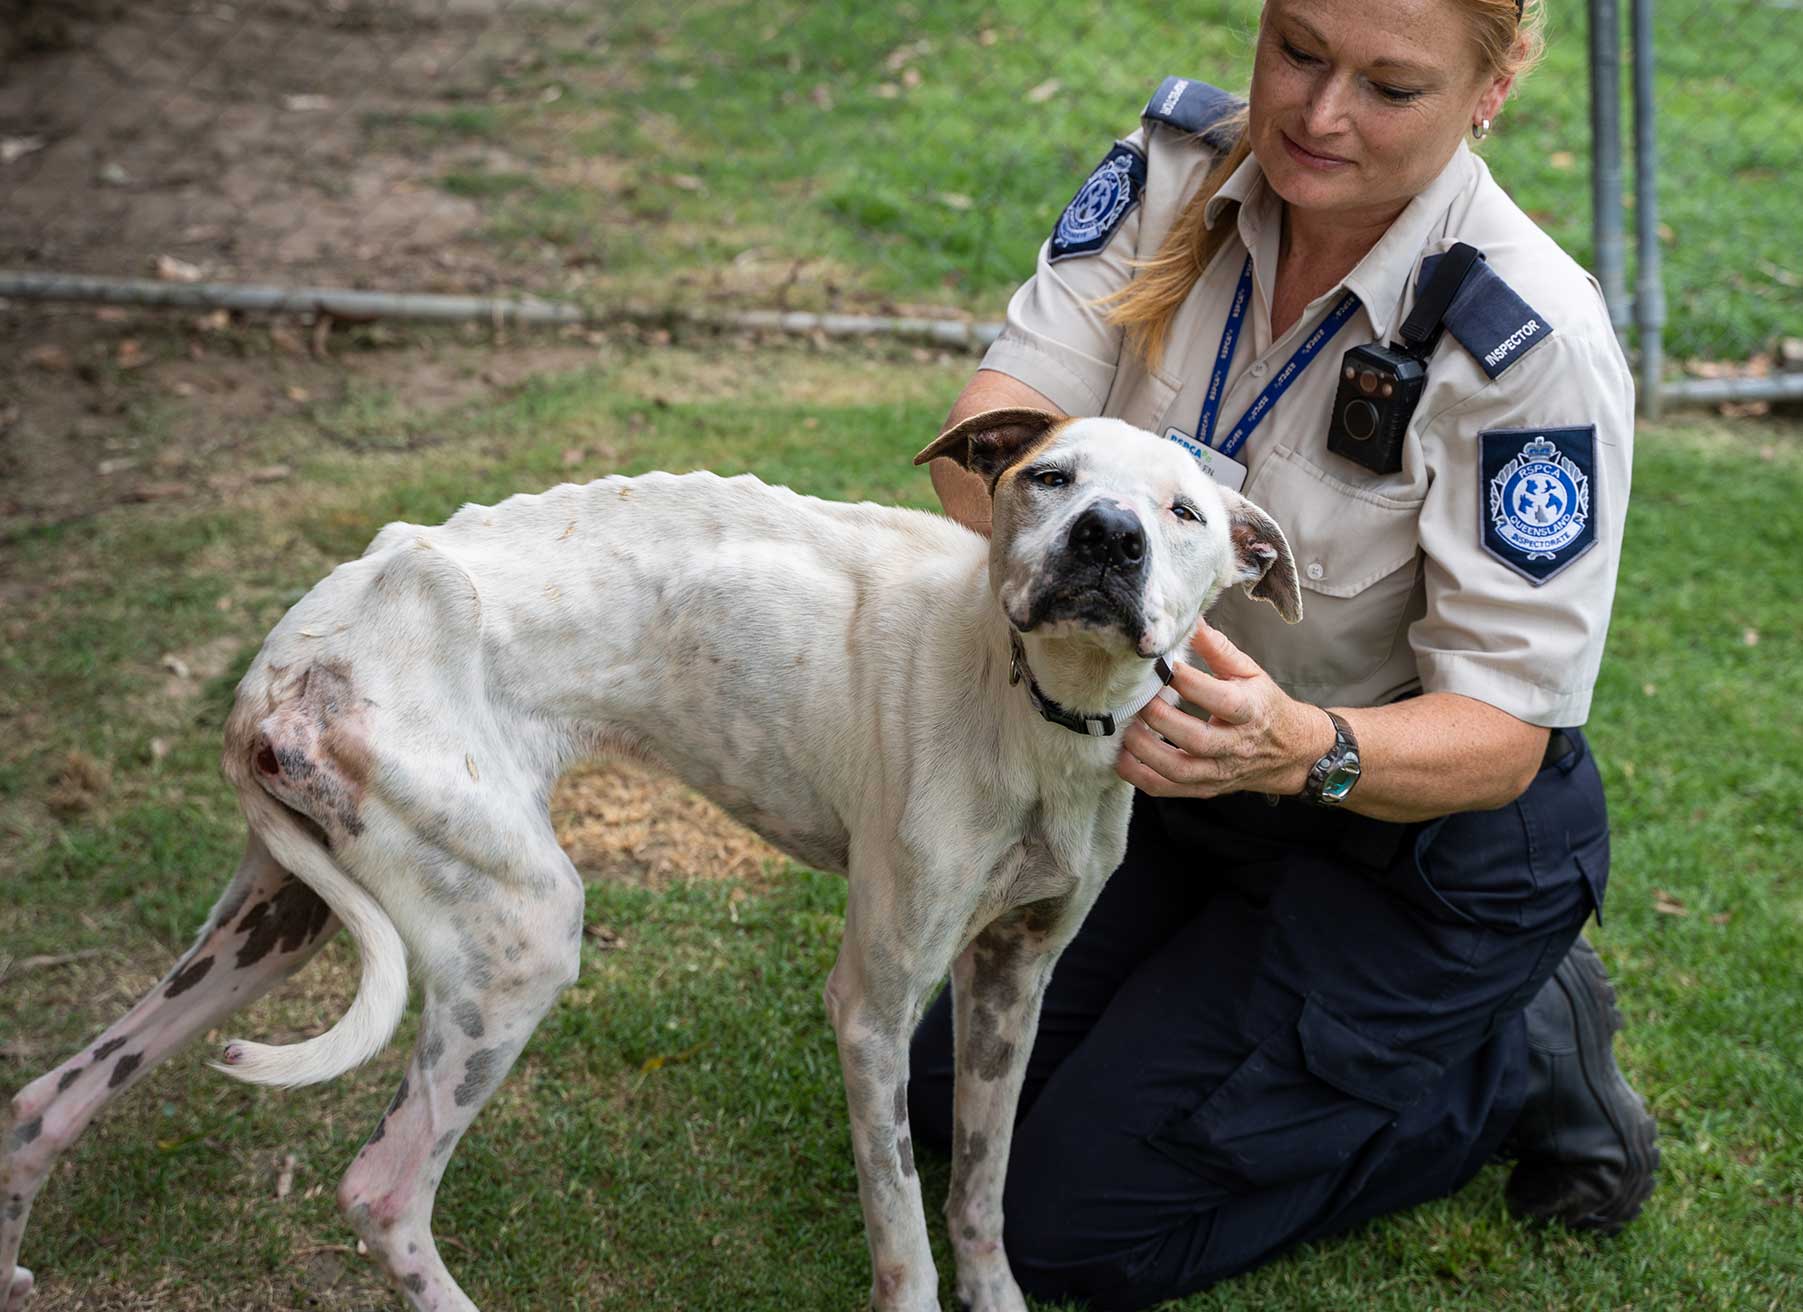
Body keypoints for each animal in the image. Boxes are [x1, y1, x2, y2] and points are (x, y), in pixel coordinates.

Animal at [0, 410, 1305, 1312]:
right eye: (1050, 476)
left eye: (1184, 513)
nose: (1107, 538)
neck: (1029, 706)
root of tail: (289, 655)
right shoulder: (874, 1007)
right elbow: (902, 1227)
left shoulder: (1011, 982)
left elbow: (979, 1195)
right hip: (518, 938)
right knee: (380, 1189)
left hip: (278, 918)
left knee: (44, 1100)